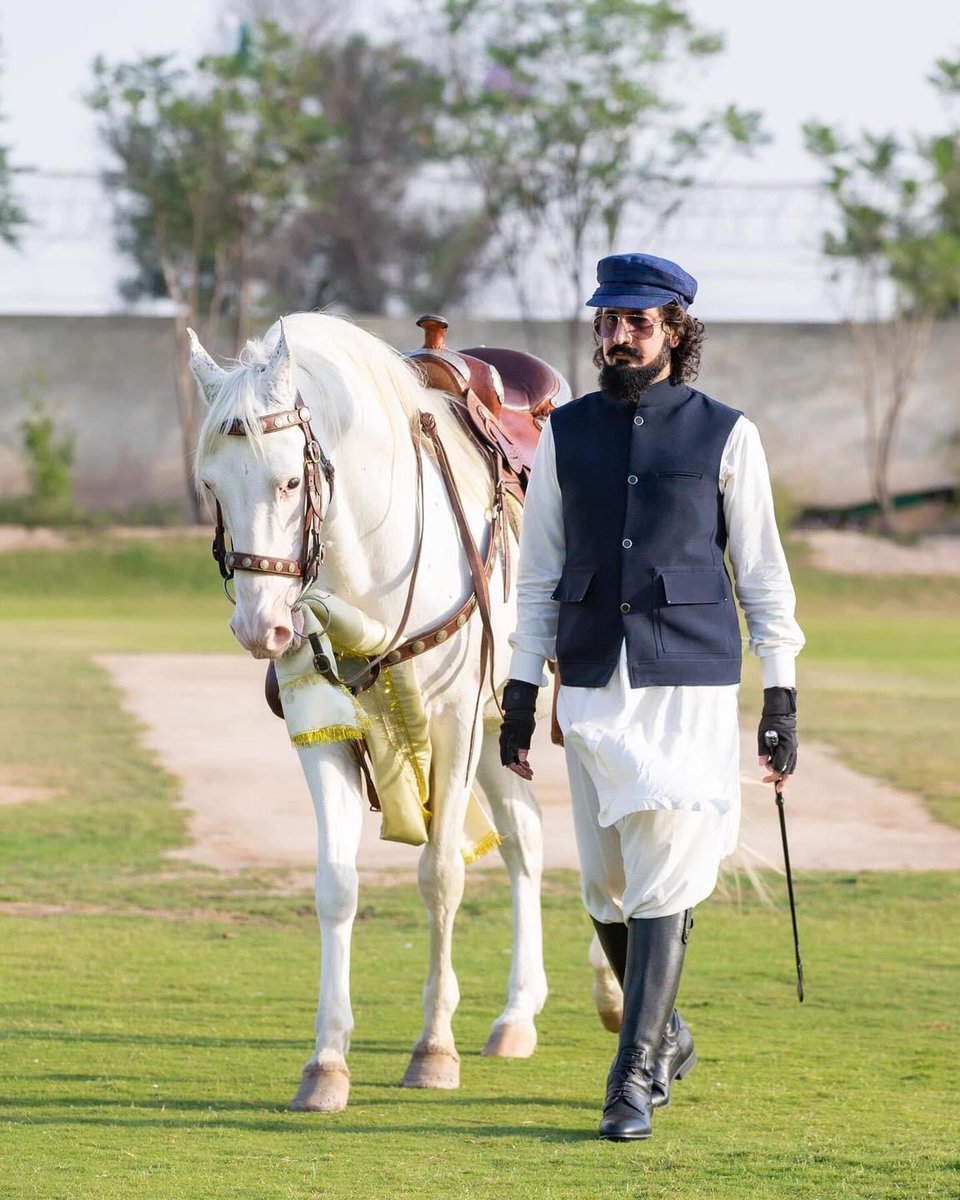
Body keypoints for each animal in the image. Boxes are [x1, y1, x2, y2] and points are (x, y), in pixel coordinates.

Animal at [189, 312, 554, 1112]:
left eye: (291, 479)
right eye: (211, 485)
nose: (260, 627)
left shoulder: (451, 721)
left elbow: (441, 876)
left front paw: (434, 1050)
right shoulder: (320, 726)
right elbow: (336, 886)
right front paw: (326, 1063)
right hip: (498, 725)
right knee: (526, 843)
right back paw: (517, 1015)